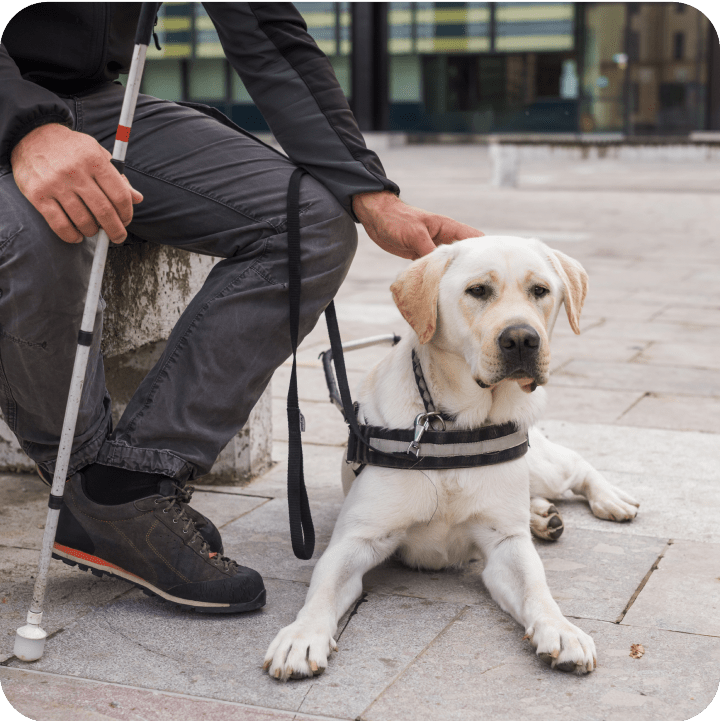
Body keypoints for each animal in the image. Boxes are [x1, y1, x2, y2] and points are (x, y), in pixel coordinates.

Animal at [266, 236, 640, 680]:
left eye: (540, 290)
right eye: (477, 290)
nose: (522, 339)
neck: (454, 425)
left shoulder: (506, 546)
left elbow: (538, 589)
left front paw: (561, 629)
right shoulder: (357, 539)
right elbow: (321, 590)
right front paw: (302, 636)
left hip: (541, 467)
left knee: (576, 466)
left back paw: (609, 499)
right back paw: (542, 516)